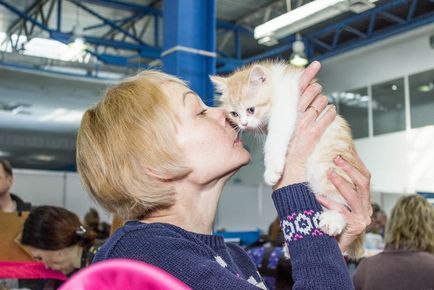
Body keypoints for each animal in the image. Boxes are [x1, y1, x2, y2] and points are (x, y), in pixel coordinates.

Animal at [212, 61, 364, 258]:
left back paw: (333, 219)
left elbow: (275, 137)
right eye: (234, 114)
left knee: (340, 200)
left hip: (327, 168)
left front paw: (272, 169)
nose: (243, 124)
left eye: (251, 109)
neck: (276, 85)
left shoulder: (286, 106)